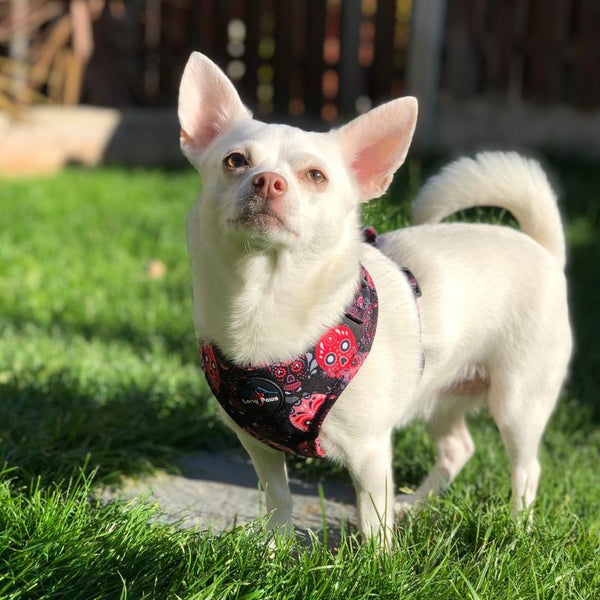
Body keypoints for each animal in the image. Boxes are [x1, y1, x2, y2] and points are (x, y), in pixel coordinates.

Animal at [178, 54, 572, 548]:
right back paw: (417, 504)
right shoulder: (258, 443)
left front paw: (378, 562)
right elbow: (278, 498)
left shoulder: (369, 452)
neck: (264, 299)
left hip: (518, 403)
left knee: (526, 468)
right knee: (458, 448)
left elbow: (372, 520)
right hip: (441, 393)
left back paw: (519, 527)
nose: (267, 181)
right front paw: (273, 549)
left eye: (316, 176)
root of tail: (543, 249)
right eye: (235, 161)